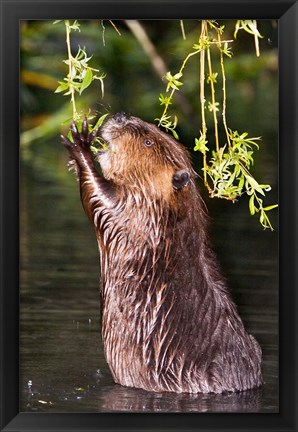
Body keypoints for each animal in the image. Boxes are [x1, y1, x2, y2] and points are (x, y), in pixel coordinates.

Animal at [61, 113, 262, 394]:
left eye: (148, 142)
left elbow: (100, 200)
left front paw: (81, 143)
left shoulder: (135, 214)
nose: (120, 116)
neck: (170, 217)